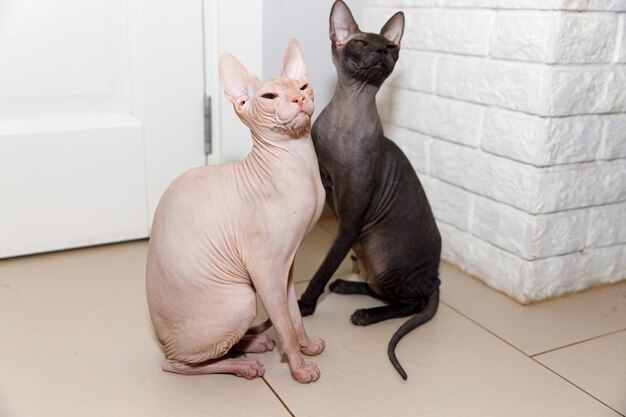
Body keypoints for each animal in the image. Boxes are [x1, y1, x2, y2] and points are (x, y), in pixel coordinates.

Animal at [144, 39, 324, 384]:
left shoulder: (288, 264)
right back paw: (244, 364)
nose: (298, 99)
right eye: (269, 97)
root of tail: (161, 341)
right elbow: (284, 323)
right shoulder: (266, 268)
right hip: (241, 299)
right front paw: (298, 368)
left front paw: (306, 345)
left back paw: (253, 341)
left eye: (303, 87)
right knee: (178, 364)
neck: (301, 164)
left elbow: (293, 314)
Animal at [296, 0, 438, 378]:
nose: (381, 51)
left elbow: (324, 266)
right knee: (382, 290)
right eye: (360, 43)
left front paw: (305, 304)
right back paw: (346, 286)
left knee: (409, 302)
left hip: (381, 253)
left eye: (389, 46)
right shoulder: (324, 185)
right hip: (366, 254)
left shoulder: (351, 218)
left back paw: (363, 314)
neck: (347, 120)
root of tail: (436, 279)